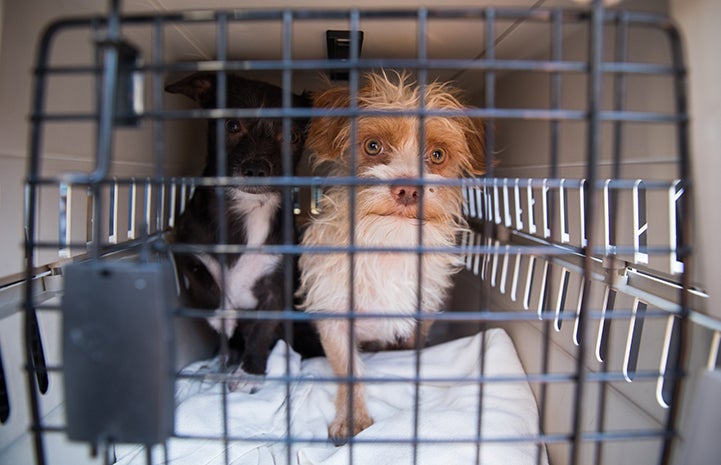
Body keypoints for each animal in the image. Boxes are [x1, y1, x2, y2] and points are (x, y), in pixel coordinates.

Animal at [167, 72, 320, 390]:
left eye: (292, 136)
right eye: (232, 125)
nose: (256, 169)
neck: (248, 212)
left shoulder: (277, 289)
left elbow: (261, 332)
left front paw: (250, 372)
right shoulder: (188, 252)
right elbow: (208, 283)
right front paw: (224, 319)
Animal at [296, 70, 486, 440]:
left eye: (437, 155)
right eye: (373, 146)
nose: (408, 189)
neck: (388, 243)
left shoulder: (420, 318)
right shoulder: (335, 316)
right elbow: (348, 370)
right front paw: (352, 418)